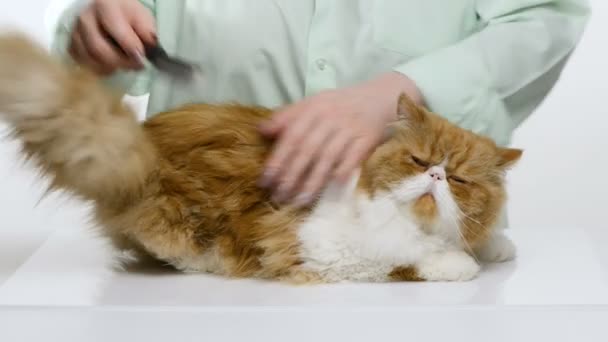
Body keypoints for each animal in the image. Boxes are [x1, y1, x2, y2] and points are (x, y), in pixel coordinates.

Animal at [0, 32, 524, 284]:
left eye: (459, 180)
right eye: (419, 161)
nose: (436, 175)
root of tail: (143, 141)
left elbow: (481, 240)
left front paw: (494, 246)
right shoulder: (321, 248)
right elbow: (410, 261)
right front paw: (457, 263)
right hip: (176, 223)